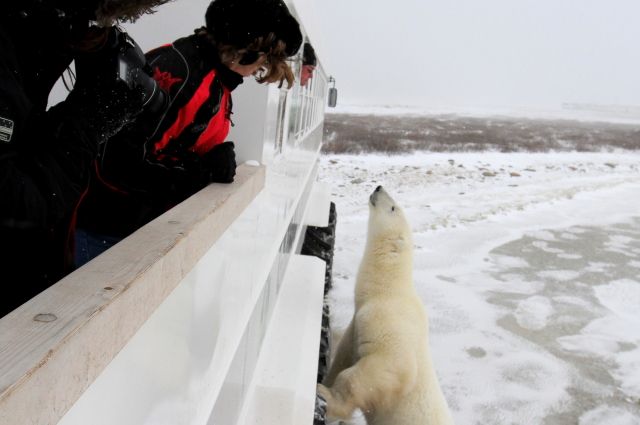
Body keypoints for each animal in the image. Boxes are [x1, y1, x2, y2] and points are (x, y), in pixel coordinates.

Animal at [317, 186, 455, 425]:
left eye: (392, 207)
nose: (378, 187)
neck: (389, 291)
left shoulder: (386, 320)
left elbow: (385, 366)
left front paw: (325, 396)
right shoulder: (357, 320)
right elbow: (344, 354)